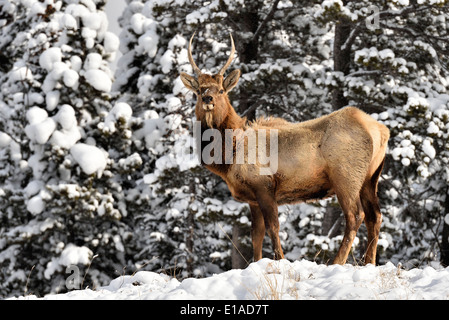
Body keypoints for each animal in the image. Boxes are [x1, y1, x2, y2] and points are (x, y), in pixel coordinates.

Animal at [178, 32, 388, 264]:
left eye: (222, 90)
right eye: (198, 90)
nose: (208, 98)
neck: (229, 156)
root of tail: (381, 131)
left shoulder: (264, 185)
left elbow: (273, 228)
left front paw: (280, 260)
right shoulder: (252, 198)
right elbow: (256, 235)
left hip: (346, 176)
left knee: (355, 215)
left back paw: (338, 261)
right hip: (370, 177)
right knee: (375, 216)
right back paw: (369, 262)